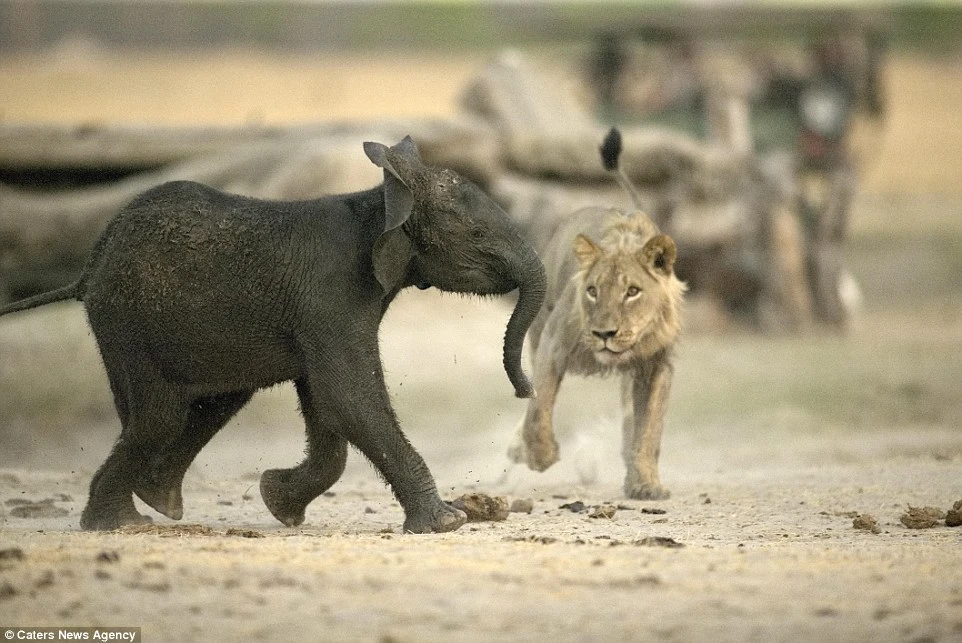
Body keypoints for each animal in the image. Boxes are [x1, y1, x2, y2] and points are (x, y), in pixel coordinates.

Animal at [0, 136, 544, 532]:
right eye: (476, 236)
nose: (525, 390)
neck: (380, 203)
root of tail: (89, 267)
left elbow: (329, 412)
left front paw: (278, 503)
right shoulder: (331, 296)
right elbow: (349, 398)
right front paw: (448, 522)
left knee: (210, 402)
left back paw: (157, 502)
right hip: (128, 321)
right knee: (159, 416)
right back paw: (121, 524)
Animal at [506, 128, 688, 500]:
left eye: (632, 291)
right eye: (593, 290)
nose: (605, 334)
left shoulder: (658, 365)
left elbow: (649, 430)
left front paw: (647, 483)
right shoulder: (554, 342)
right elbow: (539, 407)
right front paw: (541, 455)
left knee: (630, 424)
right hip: (538, 331)